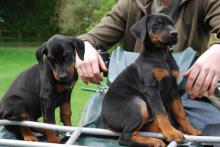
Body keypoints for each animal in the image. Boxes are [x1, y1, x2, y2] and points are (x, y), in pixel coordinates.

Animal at [97, 13, 201, 146]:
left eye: (172, 24)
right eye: (157, 24)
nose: (174, 33)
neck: (161, 55)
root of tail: (105, 123)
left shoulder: (173, 89)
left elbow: (180, 113)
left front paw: (191, 130)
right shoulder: (151, 89)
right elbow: (161, 112)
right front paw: (171, 133)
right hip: (138, 104)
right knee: (125, 137)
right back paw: (154, 141)